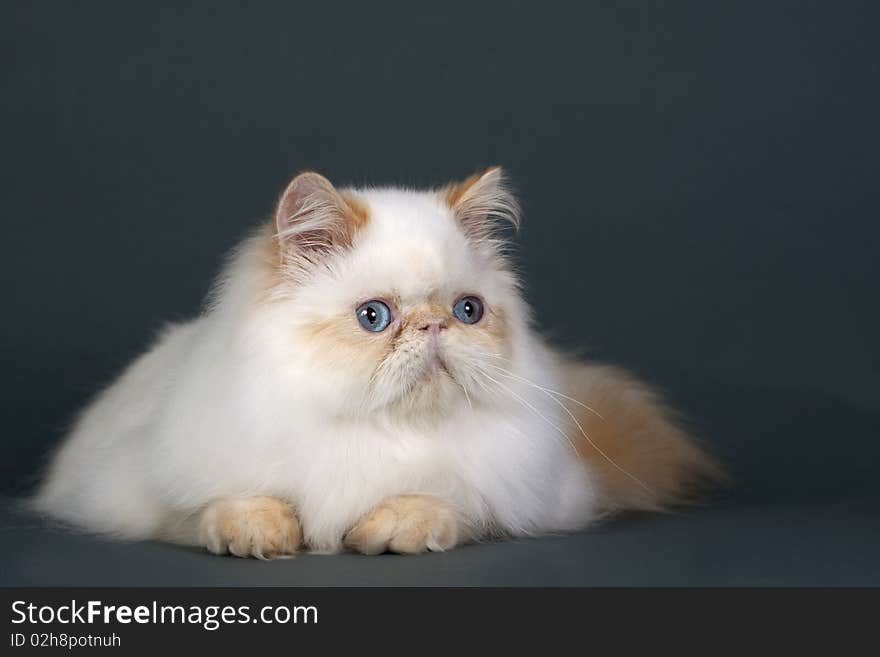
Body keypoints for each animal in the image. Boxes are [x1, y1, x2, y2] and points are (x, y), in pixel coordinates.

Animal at [34, 167, 720, 556]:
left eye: (468, 311)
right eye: (374, 318)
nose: (435, 325)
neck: (381, 430)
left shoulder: (521, 493)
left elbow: (441, 505)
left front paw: (391, 530)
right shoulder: (137, 487)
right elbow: (226, 505)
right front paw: (260, 535)